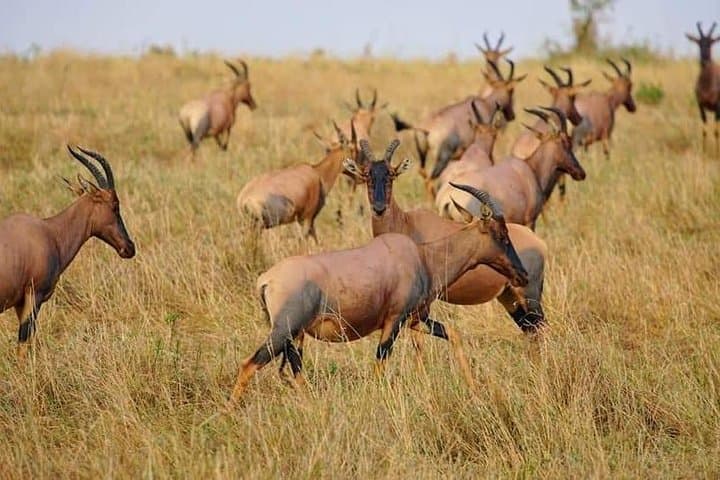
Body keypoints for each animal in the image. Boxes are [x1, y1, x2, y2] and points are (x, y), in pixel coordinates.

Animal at [0, 146, 135, 360]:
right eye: (115, 205)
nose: (129, 248)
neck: (50, 231)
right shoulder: (33, 295)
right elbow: (24, 342)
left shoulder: (20, 303)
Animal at [229, 181, 529, 403]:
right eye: (501, 235)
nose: (522, 275)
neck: (421, 257)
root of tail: (266, 280)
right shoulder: (393, 321)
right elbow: (380, 363)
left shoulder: (415, 320)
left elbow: (453, 334)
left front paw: (473, 387)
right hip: (284, 332)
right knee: (249, 364)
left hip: (296, 336)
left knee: (295, 372)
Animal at [344, 139, 547, 334]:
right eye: (367, 174)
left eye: (392, 174)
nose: (379, 208)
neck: (406, 223)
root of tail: (538, 242)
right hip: (510, 298)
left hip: (529, 295)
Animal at [391, 59, 526, 179]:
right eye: (511, 90)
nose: (512, 115)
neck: (485, 104)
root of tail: (426, 127)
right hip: (443, 157)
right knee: (431, 177)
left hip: (423, 154)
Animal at [686, 21, 720, 153]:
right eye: (699, 42)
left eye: (711, 42)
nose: (704, 61)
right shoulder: (700, 105)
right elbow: (704, 130)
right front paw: (704, 151)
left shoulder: (717, 107)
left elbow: (716, 131)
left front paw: (716, 153)